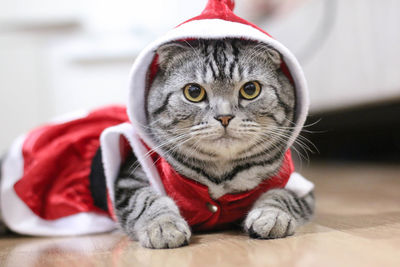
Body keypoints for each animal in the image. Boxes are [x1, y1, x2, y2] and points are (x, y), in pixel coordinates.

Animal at [113, 38, 316, 250]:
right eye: (193, 92)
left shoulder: (300, 186)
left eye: (250, 89)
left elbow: (282, 195)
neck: (221, 174)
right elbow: (147, 200)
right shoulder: (130, 179)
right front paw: (163, 225)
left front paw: (272, 215)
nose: (224, 117)